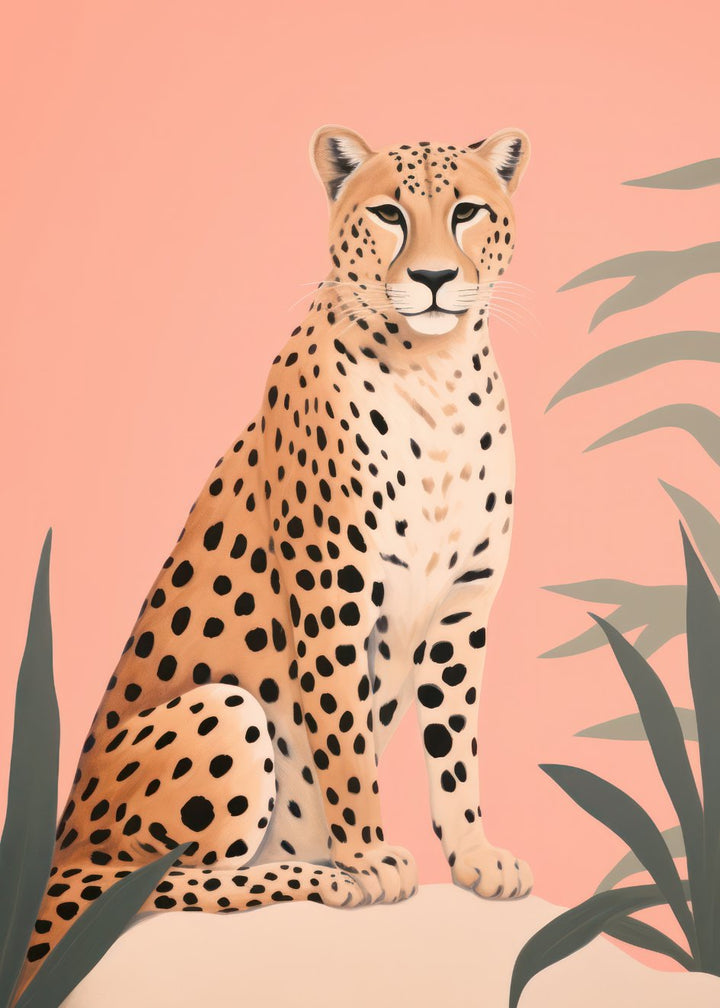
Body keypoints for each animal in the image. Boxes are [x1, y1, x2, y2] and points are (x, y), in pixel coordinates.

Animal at [18, 124, 534, 996]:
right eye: (389, 213)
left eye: (465, 210)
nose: (434, 279)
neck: (435, 372)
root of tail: (57, 853)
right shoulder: (334, 592)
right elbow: (344, 738)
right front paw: (368, 854)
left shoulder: (461, 609)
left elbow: (455, 746)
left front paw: (473, 857)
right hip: (221, 711)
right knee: (147, 885)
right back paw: (324, 876)